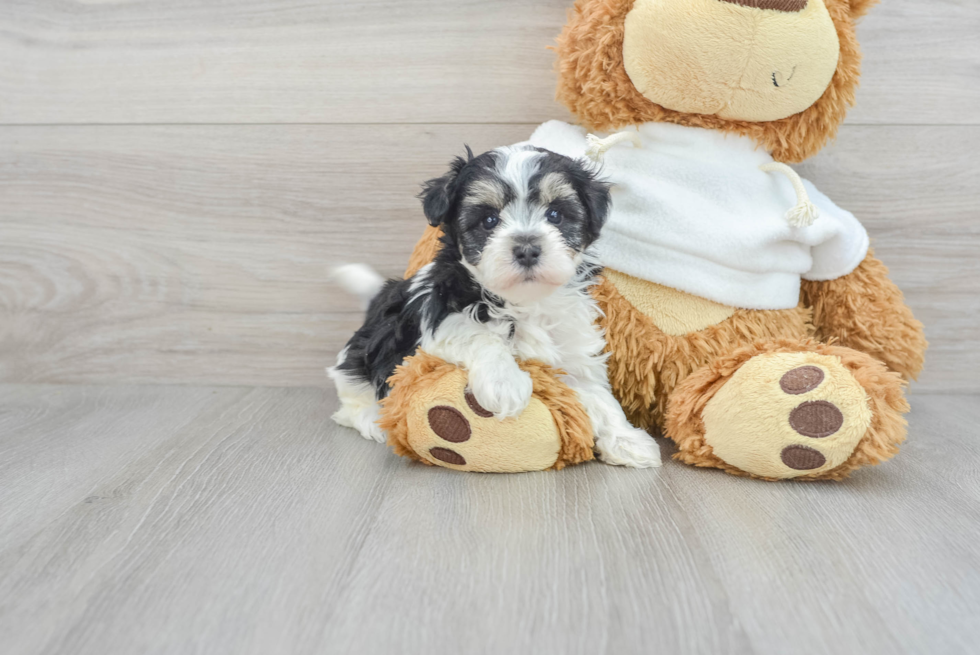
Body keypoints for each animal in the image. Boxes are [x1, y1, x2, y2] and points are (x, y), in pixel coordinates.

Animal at [328, 146, 660, 468]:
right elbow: (477, 333)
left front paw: (627, 440)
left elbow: (598, 395)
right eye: (489, 220)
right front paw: (505, 383)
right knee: (352, 396)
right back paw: (373, 420)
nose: (527, 248)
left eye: (555, 215)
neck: (525, 302)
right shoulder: (440, 319)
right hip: (363, 356)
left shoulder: (573, 349)